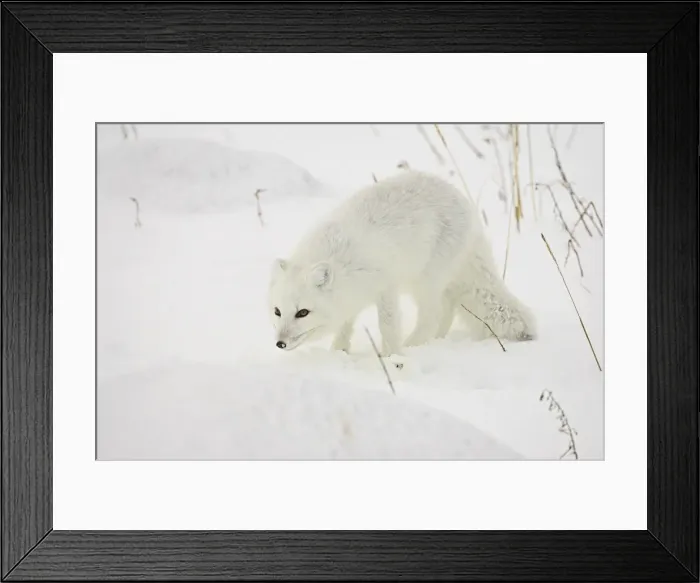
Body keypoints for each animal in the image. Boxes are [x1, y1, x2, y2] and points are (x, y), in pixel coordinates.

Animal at [268, 170, 536, 356]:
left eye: (302, 312)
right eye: (277, 311)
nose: (279, 343)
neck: (339, 257)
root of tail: (467, 206)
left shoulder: (386, 287)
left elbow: (387, 325)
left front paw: (392, 357)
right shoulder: (352, 296)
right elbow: (345, 326)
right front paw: (338, 353)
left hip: (425, 280)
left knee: (433, 315)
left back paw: (414, 347)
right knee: (447, 309)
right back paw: (435, 341)